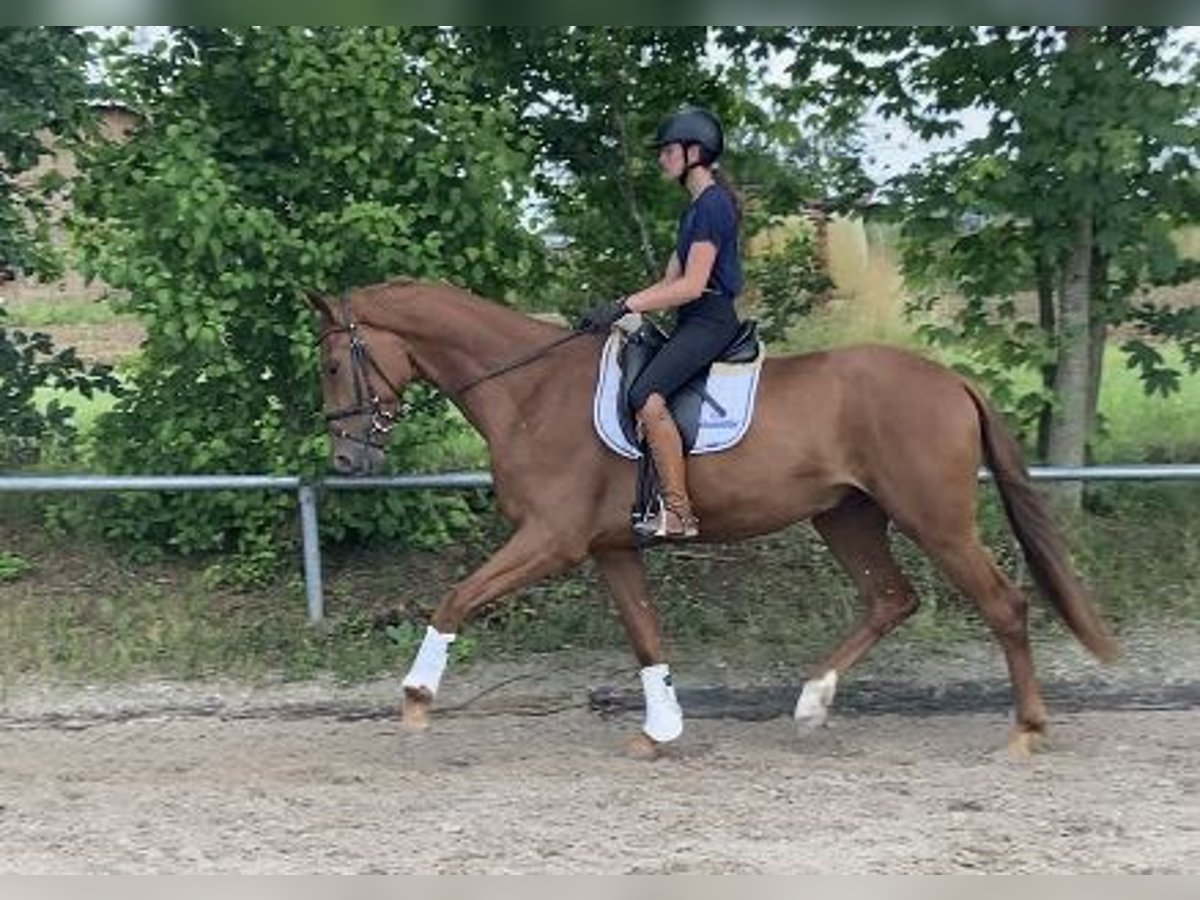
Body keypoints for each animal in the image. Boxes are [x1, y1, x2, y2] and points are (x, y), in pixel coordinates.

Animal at [307, 278, 1113, 758]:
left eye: (332, 365)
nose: (346, 459)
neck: (532, 392)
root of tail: (952, 380)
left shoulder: (552, 539)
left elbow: (456, 598)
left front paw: (416, 699)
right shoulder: (608, 546)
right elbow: (644, 633)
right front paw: (660, 730)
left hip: (934, 518)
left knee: (1003, 604)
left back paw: (1025, 730)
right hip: (846, 517)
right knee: (892, 598)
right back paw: (811, 703)